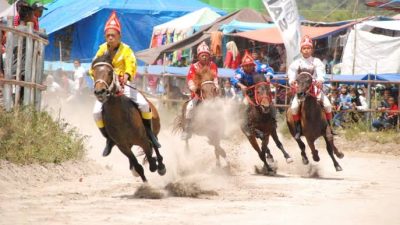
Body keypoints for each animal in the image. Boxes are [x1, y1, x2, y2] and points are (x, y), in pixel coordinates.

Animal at [91, 53, 165, 182]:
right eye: (93, 73)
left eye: (110, 72)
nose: (100, 92)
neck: (119, 116)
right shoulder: (123, 147)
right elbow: (138, 166)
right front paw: (144, 181)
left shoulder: (143, 140)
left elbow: (151, 162)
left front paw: (155, 164)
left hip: (154, 132)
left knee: (155, 144)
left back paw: (160, 165)